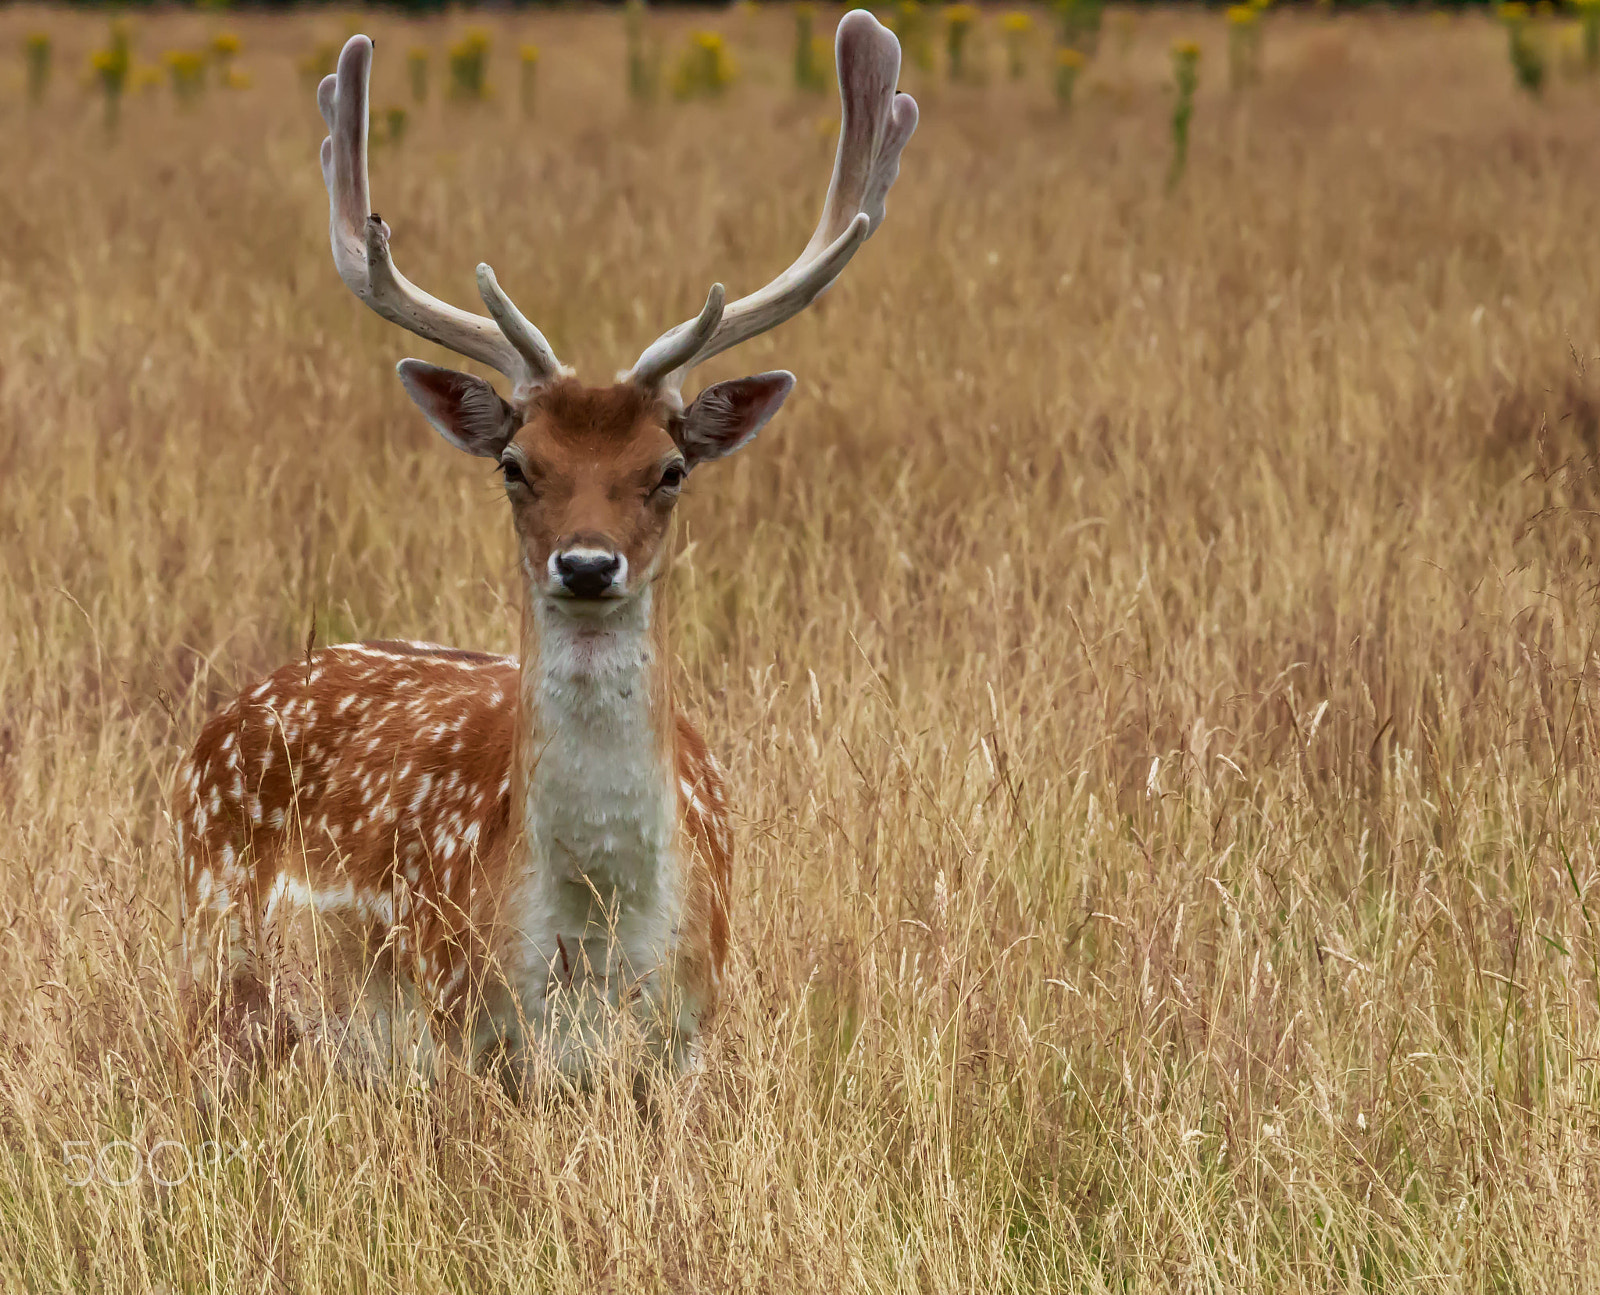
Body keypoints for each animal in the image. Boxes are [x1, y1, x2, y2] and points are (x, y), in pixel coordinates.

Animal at [172, 17, 915, 1088]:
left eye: (668, 469)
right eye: (518, 464)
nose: (588, 565)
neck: (593, 955)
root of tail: (225, 716)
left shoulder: (688, 1043)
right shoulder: (456, 1030)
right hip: (216, 955)